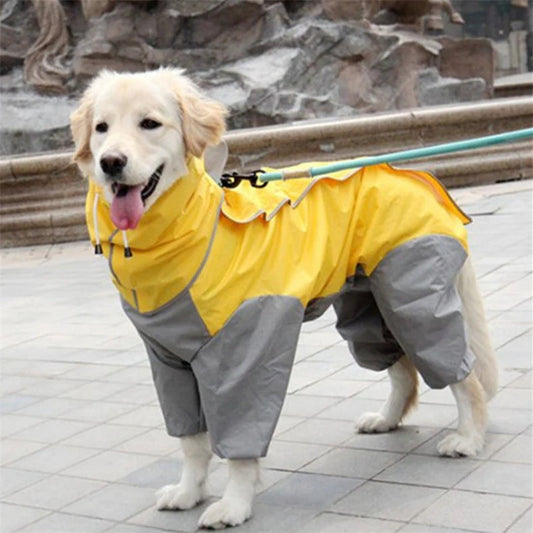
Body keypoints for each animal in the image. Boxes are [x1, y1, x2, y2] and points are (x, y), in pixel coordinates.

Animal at [68, 67, 496, 528]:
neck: (190, 231)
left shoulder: (242, 350)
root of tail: (415, 177)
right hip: (369, 306)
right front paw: (188, 492)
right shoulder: (169, 360)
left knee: (460, 371)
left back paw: (468, 437)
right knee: (403, 369)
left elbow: (239, 437)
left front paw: (234, 505)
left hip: (413, 293)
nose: (111, 163)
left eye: (149, 123)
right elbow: (192, 440)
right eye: (102, 128)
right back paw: (386, 420)